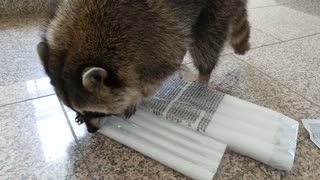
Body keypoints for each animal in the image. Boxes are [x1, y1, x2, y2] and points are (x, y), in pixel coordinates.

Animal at [37, 0, 250, 132]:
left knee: (206, 42)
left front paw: (136, 96)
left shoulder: (154, 36)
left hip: (215, 8)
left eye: (94, 111)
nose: (91, 131)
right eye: (78, 110)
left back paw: (203, 75)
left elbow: (160, 69)